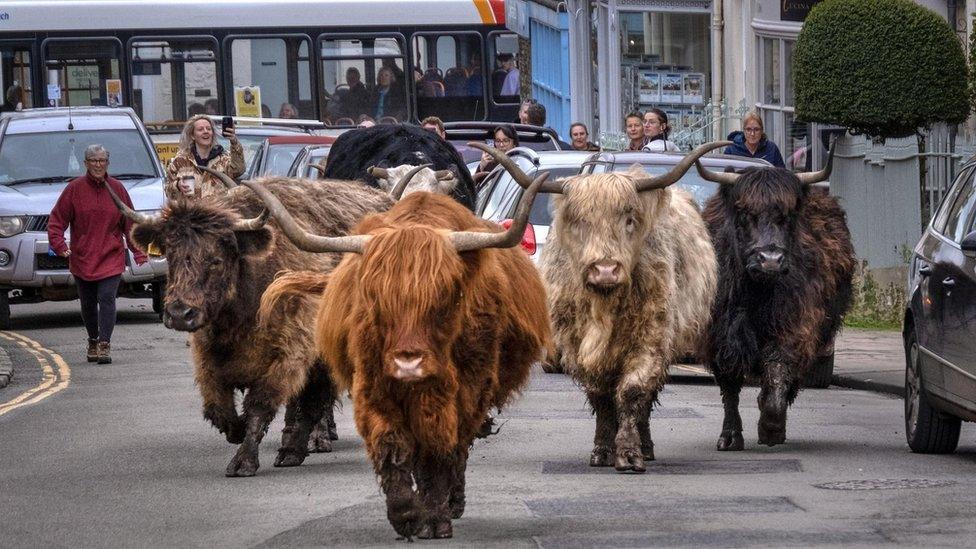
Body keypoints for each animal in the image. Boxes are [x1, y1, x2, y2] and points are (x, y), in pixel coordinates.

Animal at [106, 172, 392, 476]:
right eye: (170, 255)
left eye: (216, 260)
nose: (180, 313)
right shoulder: (207, 358)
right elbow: (218, 408)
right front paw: (237, 430)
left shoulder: (289, 355)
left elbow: (261, 405)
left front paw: (243, 461)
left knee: (313, 403)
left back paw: (292, 451)